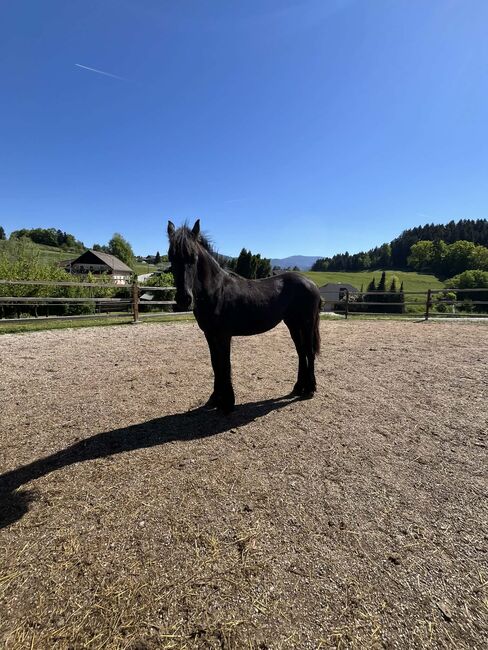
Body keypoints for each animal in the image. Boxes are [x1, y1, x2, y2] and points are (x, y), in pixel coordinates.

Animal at [167, 219, 321, 413]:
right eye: (171, 257)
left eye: (193, 257)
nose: (184, 299)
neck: (217, 291)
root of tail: (311, 283)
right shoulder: (209, 335)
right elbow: (215, 364)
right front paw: (215, 399)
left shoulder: (224, 335)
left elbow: (225, 365)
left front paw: (227, 403)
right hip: (293, 323)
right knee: (301, 352)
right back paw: (298, 388)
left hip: (306, 324)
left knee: (308, 352)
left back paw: (310, 389)